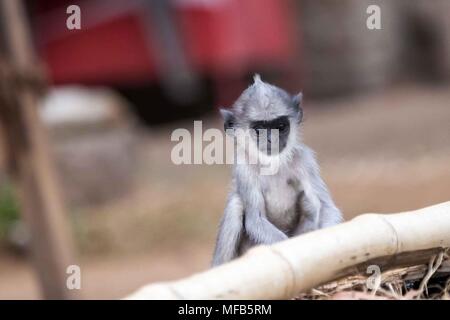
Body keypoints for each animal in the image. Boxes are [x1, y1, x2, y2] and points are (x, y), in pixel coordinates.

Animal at [211, 74, 342, 264]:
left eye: (280, 126)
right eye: (260, 129)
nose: (271, 139)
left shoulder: (305, 159)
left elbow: (327, 207)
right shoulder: (243, 168)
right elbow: (255, 219)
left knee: (310, 201)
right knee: (236, 205)